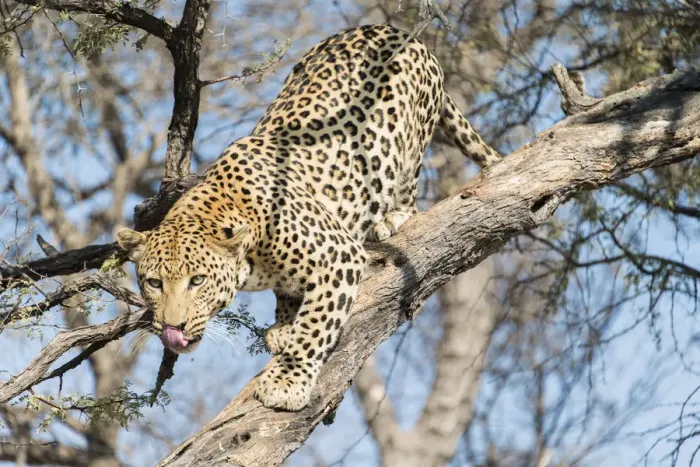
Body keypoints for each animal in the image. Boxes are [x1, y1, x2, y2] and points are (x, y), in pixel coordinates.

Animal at [116, 23, 502, 411]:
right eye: (153, 283)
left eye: (197, 281)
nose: (173, 327)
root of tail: (396, 30)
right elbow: (291, 299)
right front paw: (285, 324)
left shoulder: (339, 256)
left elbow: (314, 328)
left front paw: (286, 382)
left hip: (409, 145)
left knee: (408, 189)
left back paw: (391, 218)